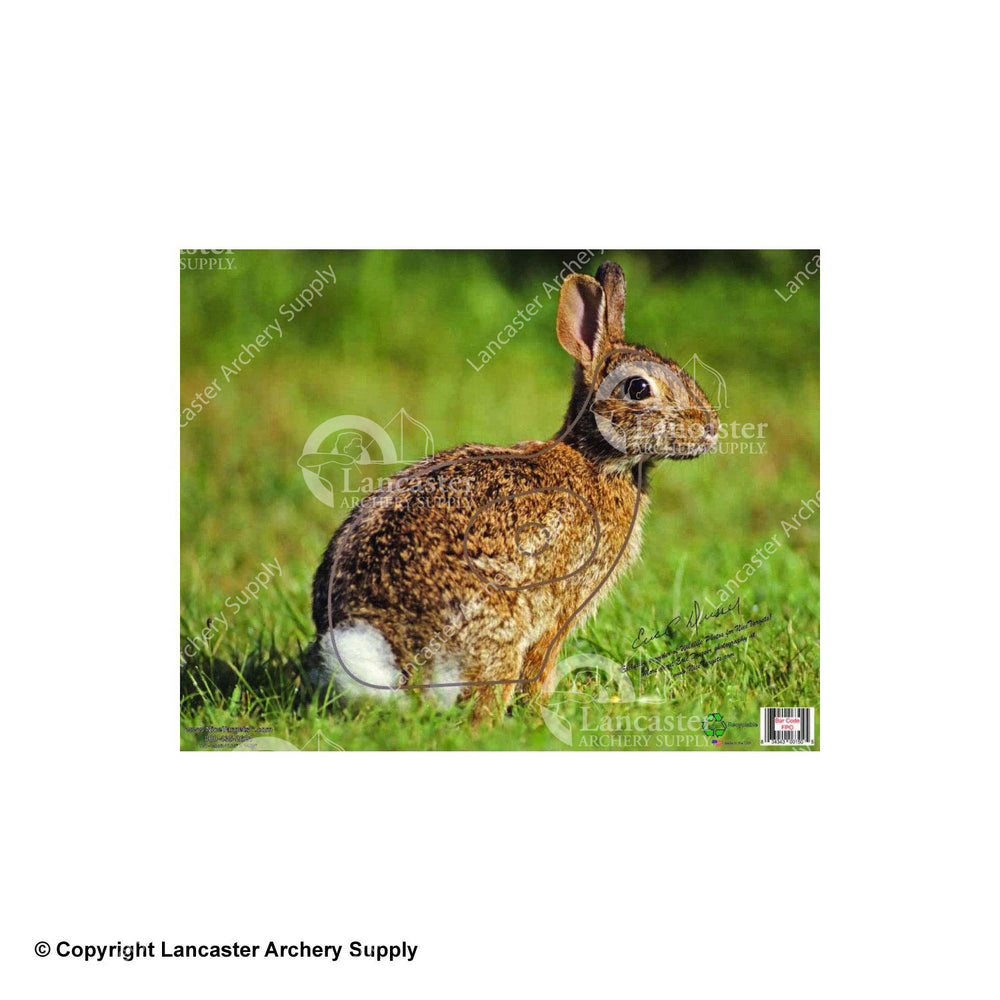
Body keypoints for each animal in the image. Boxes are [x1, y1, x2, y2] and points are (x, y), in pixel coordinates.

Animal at [303, 261, 719, 720]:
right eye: (639, 388)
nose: (711, 428)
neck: (596, 459)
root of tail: (380, 649)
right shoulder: (560, 606)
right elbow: (541, 667)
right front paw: (541, 713)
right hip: (499, 630)